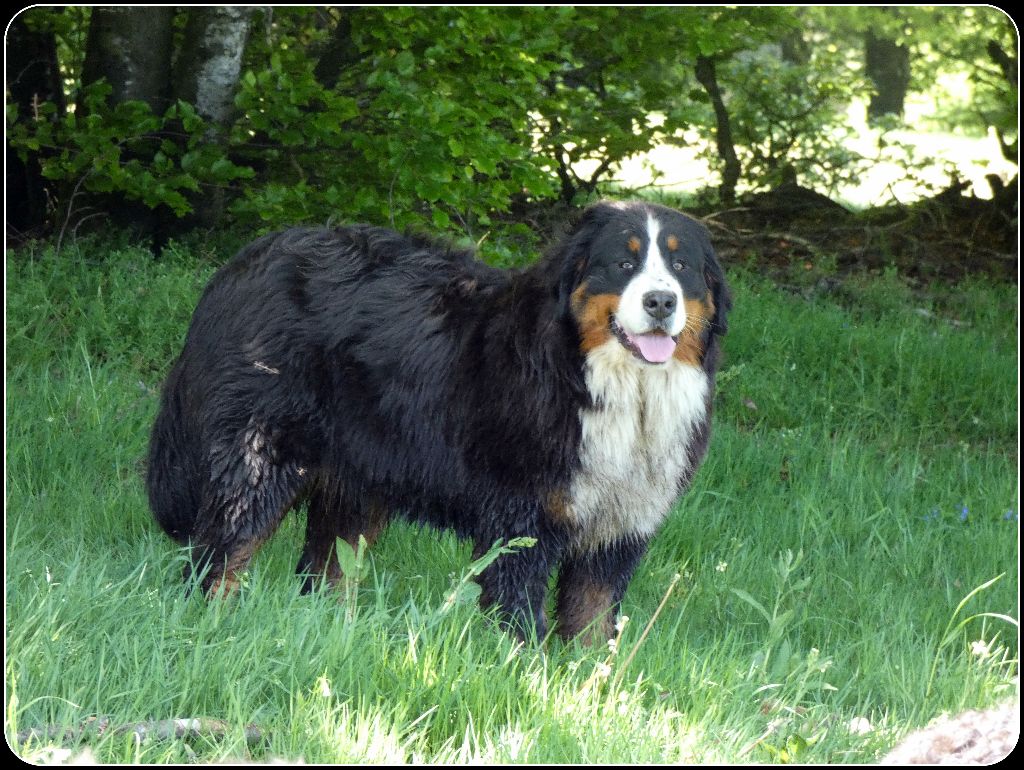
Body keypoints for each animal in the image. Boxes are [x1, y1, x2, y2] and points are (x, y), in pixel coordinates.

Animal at [148, 196, 733, 638]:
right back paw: (212, 626)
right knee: (220, 556)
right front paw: (526, 683)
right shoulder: (521, 522)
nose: (661, 301)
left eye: (681, 267)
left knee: (326, 571)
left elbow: (592, 626)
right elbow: (519, 617)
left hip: (358, 479)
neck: (611, 387)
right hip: (259, 457)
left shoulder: (618, 529)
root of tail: (243, 263)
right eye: (623, 263)